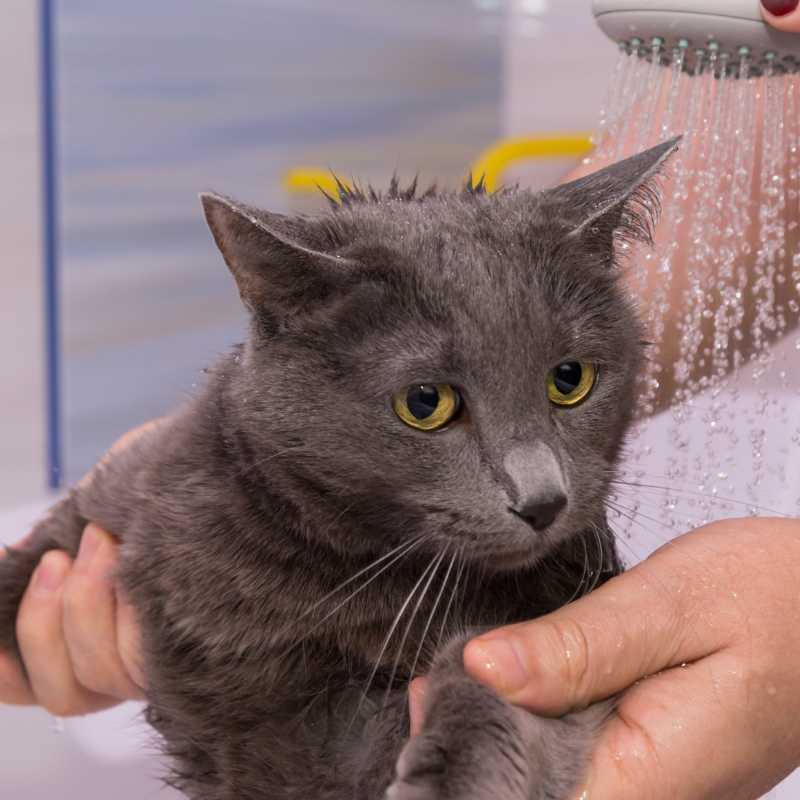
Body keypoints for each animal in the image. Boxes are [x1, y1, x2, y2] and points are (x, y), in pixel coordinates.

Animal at [0, 139, 680, 800]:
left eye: (570, 379)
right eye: (425, 403)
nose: (542, 501)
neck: (331, 569)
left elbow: (488, 672)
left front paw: (456, 779)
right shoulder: (144, 487)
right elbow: (52, 535)